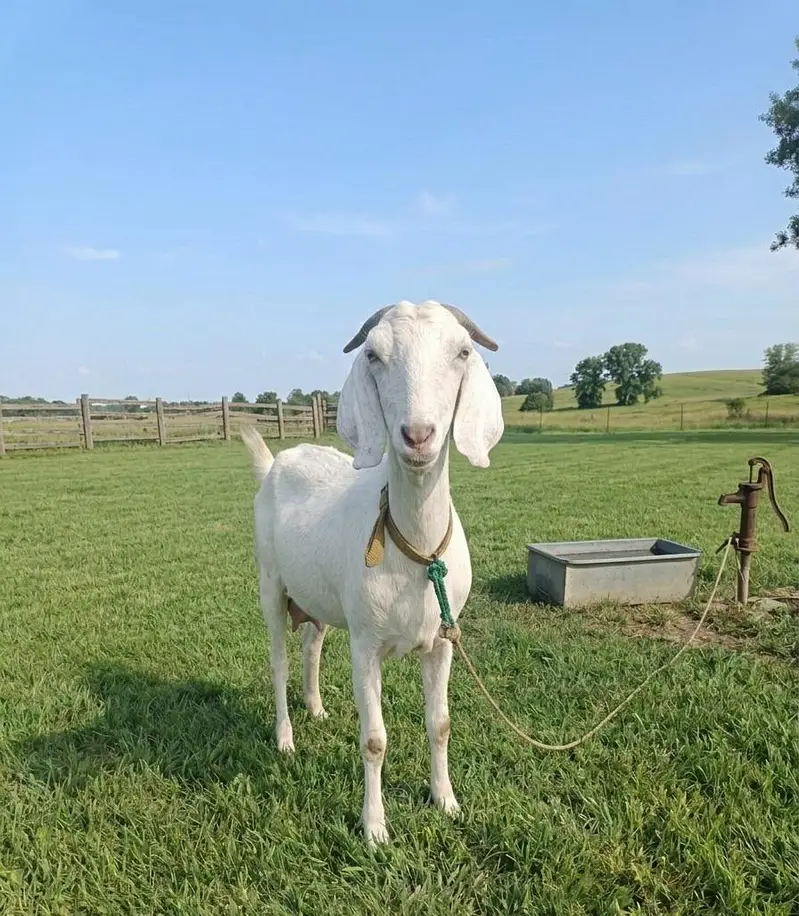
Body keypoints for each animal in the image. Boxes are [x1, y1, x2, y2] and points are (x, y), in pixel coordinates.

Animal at [241, 300, 503, 843]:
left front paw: (446, 801)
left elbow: (441, 724)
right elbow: (374, 740)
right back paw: (285, 738)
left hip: (316, 596)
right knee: (278, 660)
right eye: (374, 355)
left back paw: (316, 708)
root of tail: (276, 462)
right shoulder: (365, 644)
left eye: (462, 352)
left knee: (312, 644)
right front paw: (375, 828)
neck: (416, 552)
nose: (418, 435)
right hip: (270, 582)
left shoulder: (443, 640)